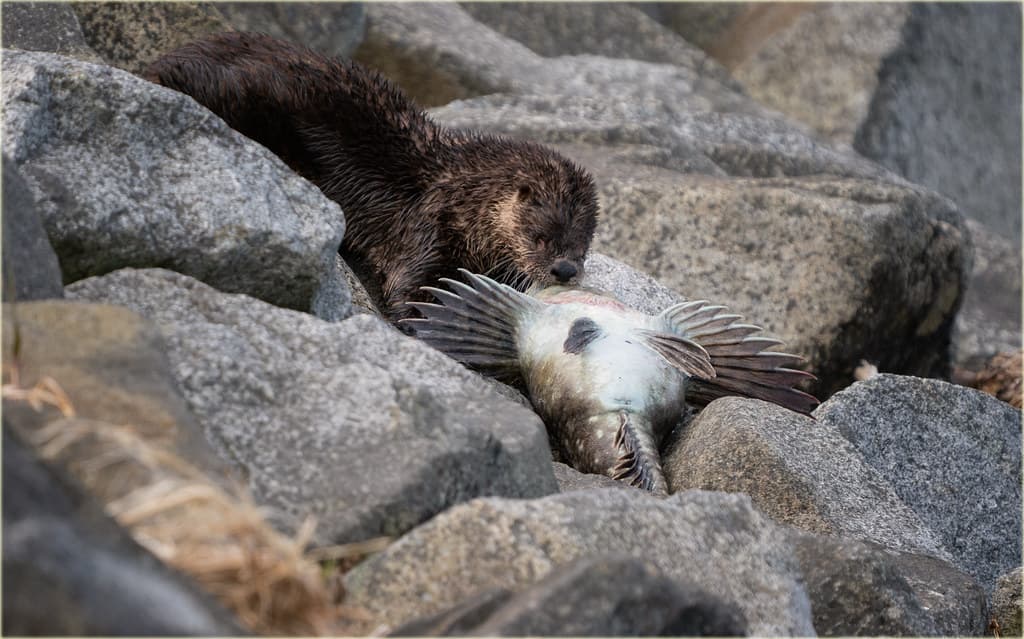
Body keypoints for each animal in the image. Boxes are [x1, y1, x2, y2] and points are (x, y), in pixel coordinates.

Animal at [145, 32, 598, 320]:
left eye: (581, 247)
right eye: (541, 237)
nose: (564, 271)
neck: (462, 196)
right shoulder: (427, 230)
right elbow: (411, 289)